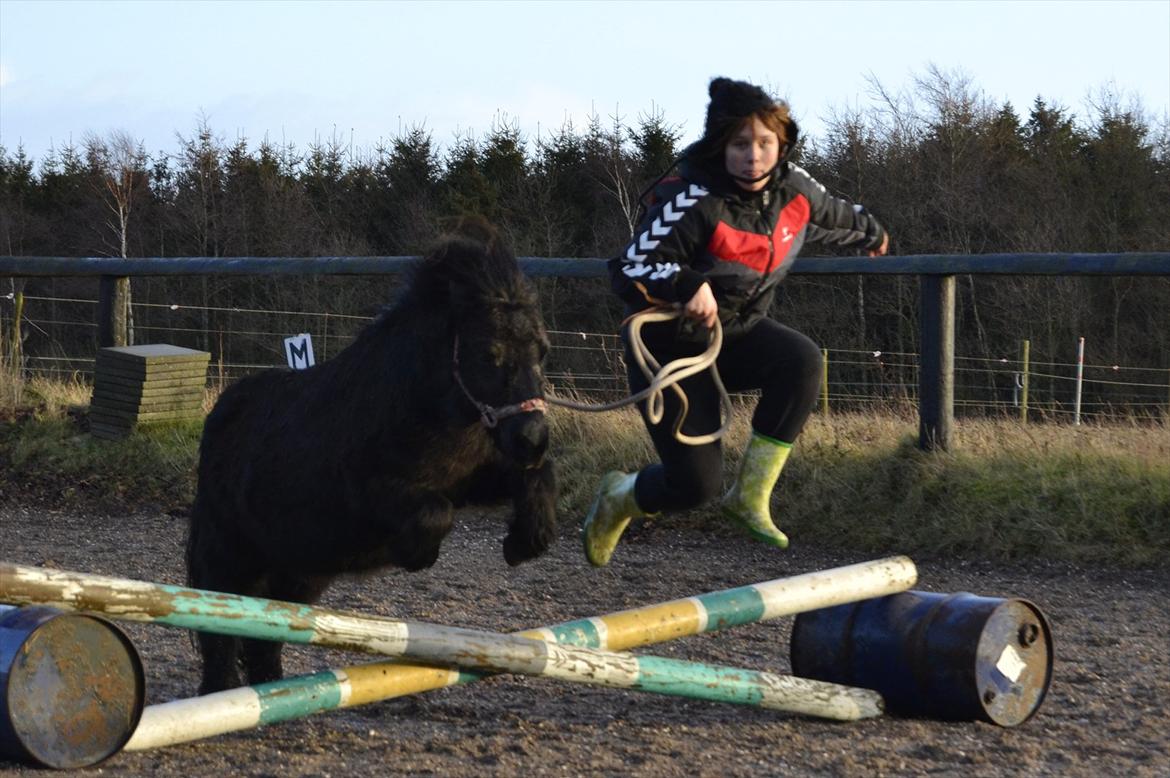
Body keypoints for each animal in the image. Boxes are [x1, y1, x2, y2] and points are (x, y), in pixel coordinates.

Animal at [188, 216, 556, 692]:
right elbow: (435, 514)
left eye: (542, 351)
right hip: (230, 558)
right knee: (219, 632)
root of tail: (221, 415)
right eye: (487, 353)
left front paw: (525, 542)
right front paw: (416, 556)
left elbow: (535, 478)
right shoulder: (372, 494)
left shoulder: (473, 479)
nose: (533, 438)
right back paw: (226, 691)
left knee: (265, 636)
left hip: (297, 572)